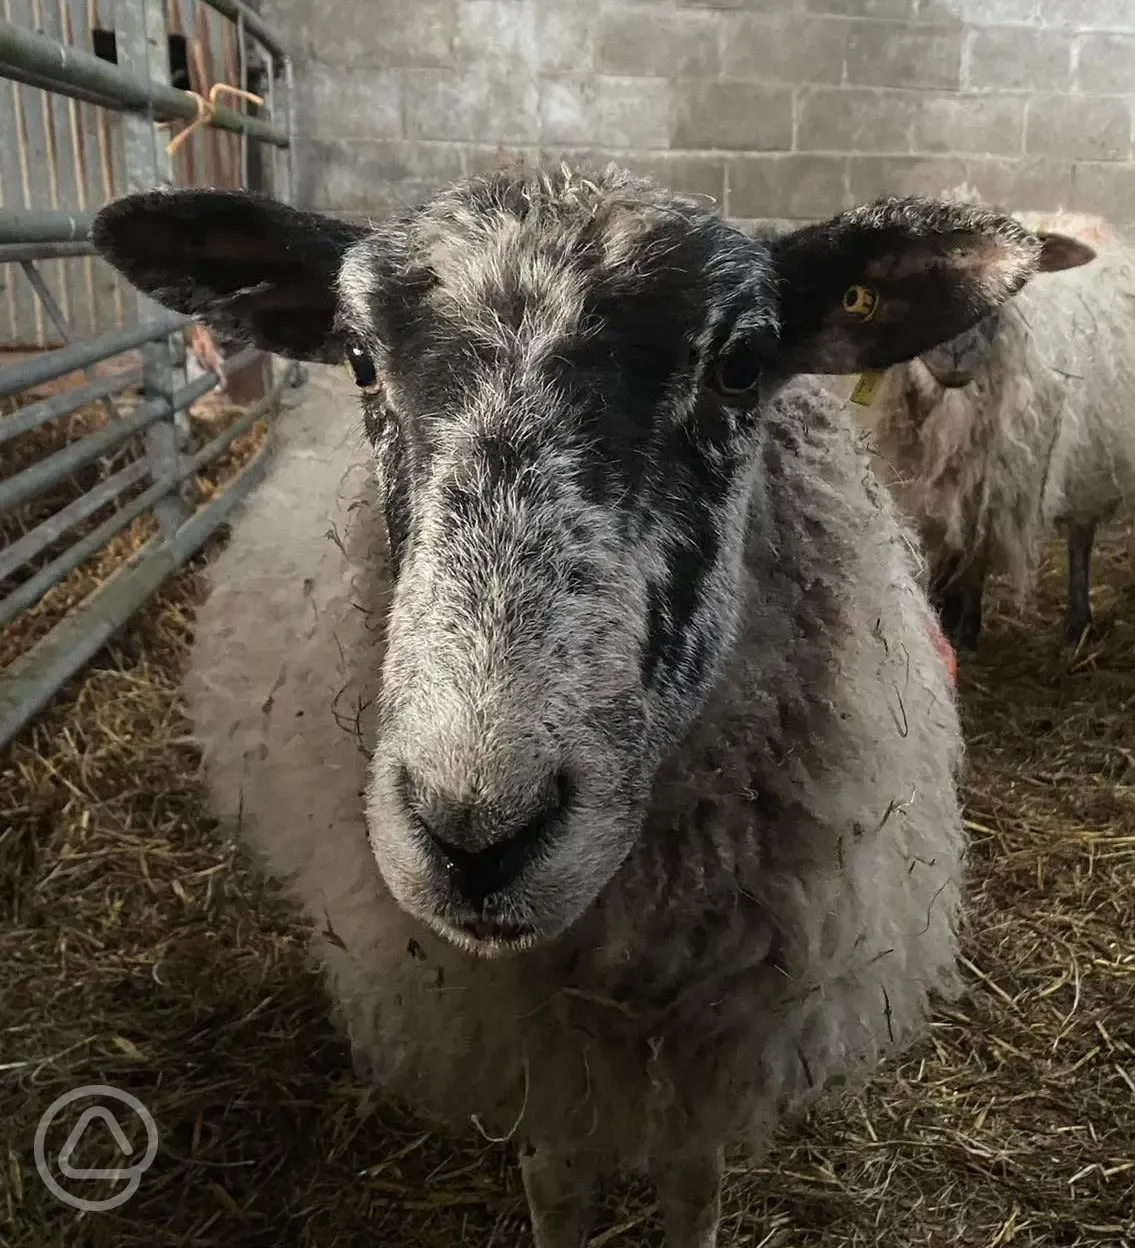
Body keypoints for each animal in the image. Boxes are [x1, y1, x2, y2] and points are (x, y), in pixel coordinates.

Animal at [93, 168, 1048, 1248]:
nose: (475, 836)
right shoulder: (533, 1051)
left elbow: (693, 1183)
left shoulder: (712, 1051)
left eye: (741, 365)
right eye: (359, 360)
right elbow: (555, 1184)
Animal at [829, 184, 1128, 653]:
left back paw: (1078, 622)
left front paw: (965, 629)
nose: (958, 349)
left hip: (1092, 461)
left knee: (1081, 536)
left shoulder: (994, 486)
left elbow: (975, 560)